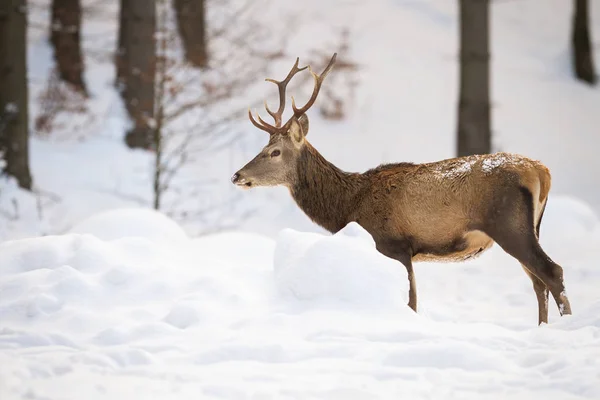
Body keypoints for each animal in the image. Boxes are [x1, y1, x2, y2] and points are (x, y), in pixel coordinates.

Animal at [230, 53, 572, 324]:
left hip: (508, 223)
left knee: (552, 272)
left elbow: (411, 301)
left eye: (275, 152)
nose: (237, 175)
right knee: (537, 282)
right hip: (529, 226)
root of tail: (541, 171)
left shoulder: (392, 243)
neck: (348, 205)